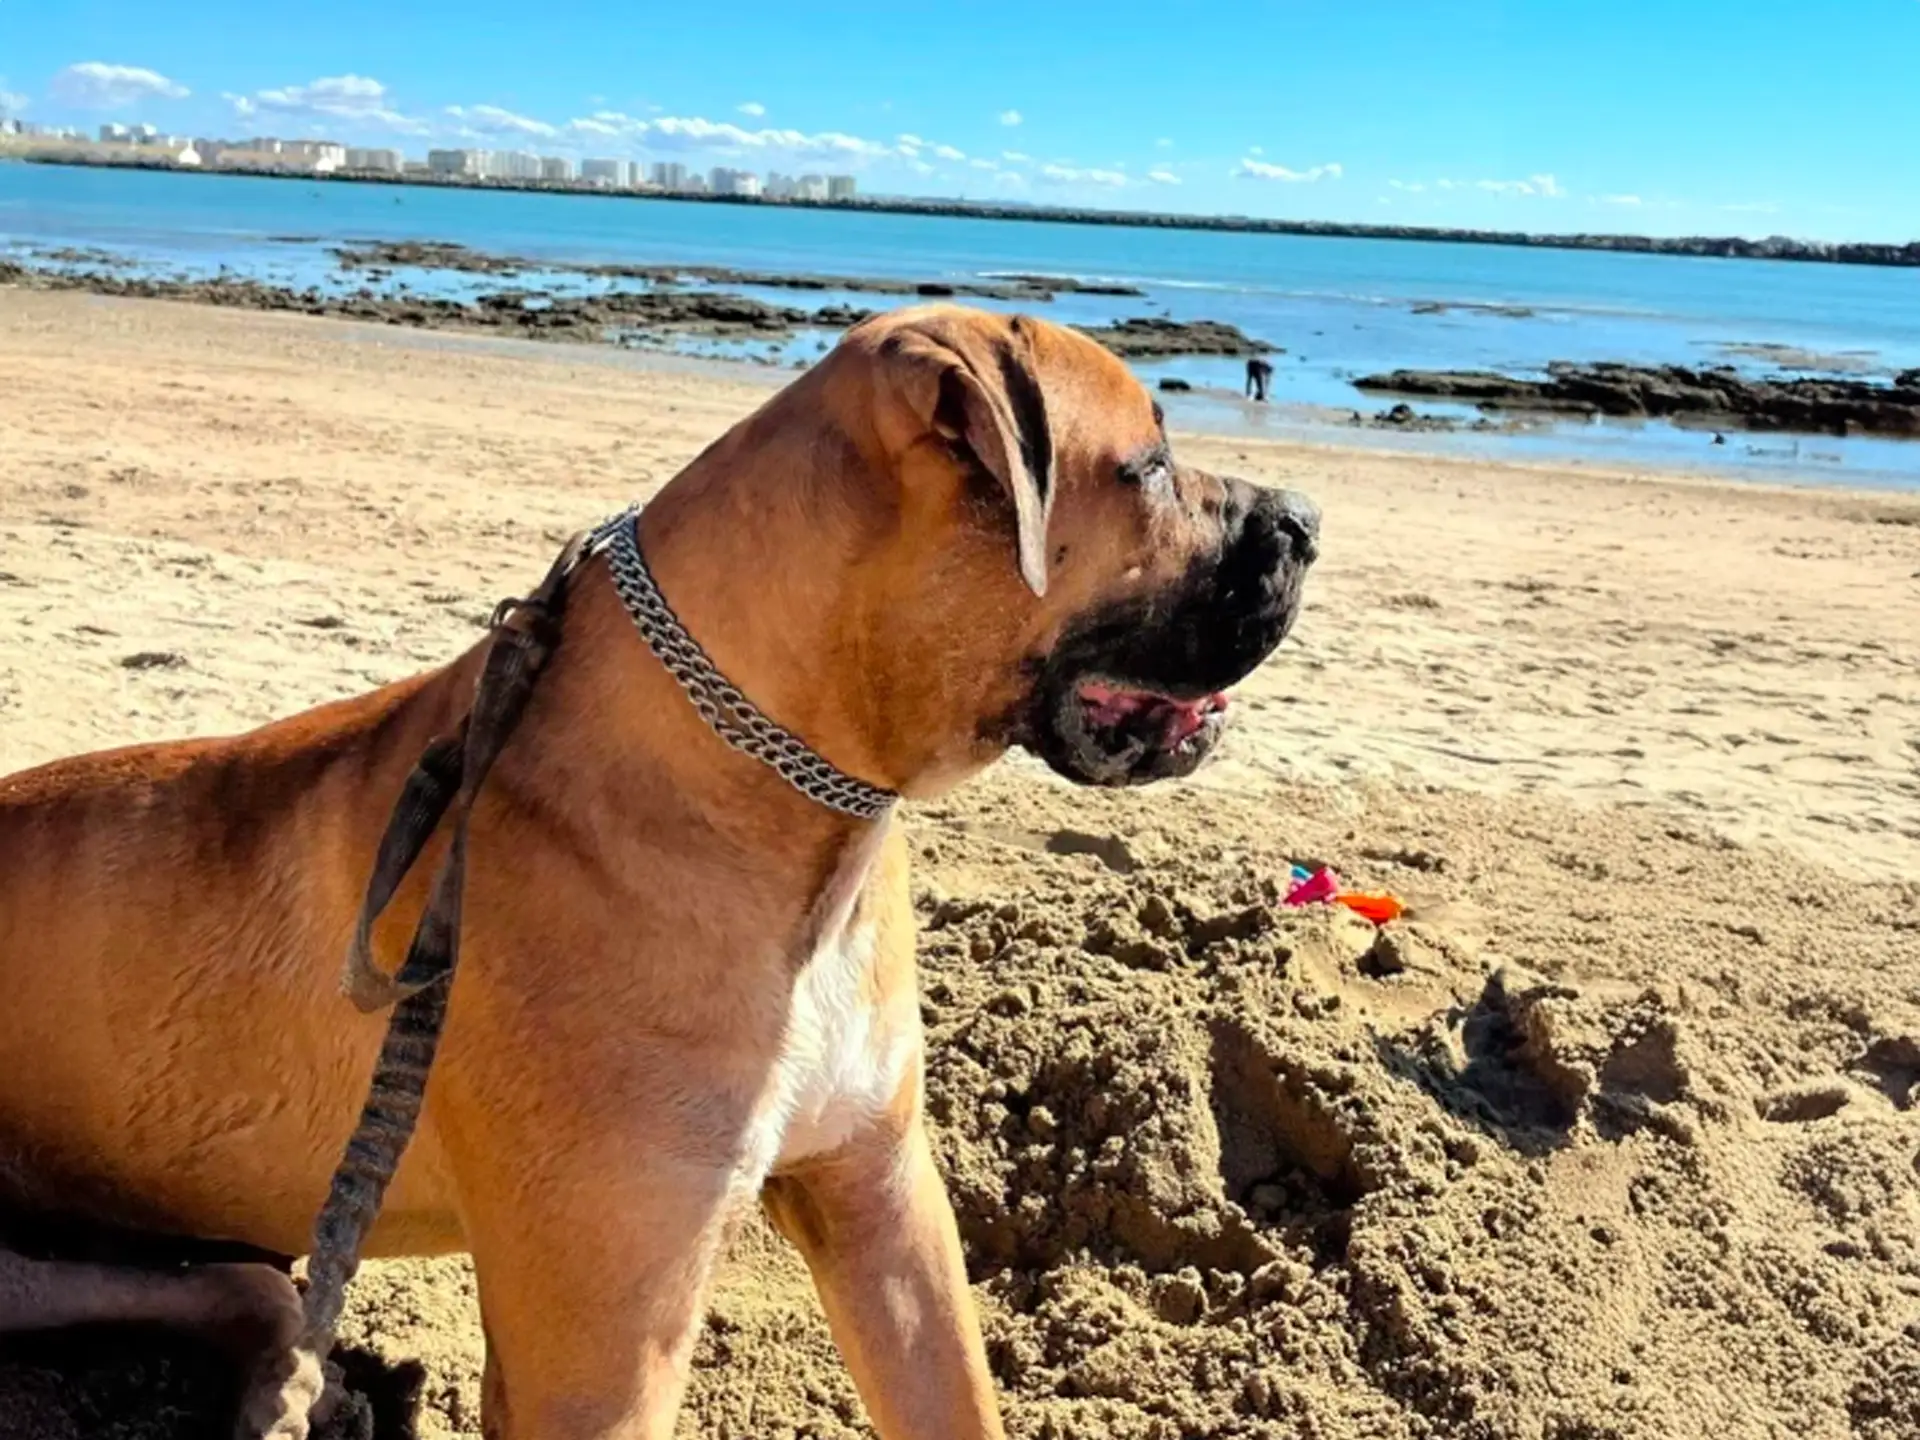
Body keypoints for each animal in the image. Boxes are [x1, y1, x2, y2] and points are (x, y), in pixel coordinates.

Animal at [0, 301, 1313, 1436]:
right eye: (1148, 466)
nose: (1305, 514)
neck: (796, 805)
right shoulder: (606, 1347)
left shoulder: (885, 1202)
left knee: (254, 1289)